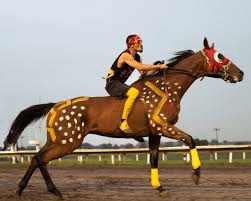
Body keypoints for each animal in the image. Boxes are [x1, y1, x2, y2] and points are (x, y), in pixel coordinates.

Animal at [2, 37, 244, 198]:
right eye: (220, 56)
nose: (240, 73)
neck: (168, 87)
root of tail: (54, 105)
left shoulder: (155, 132)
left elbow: (154, 159)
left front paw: (159, 187)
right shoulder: (162, 126)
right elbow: (191, 139)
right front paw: (196, 174)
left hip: (60, 140)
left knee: (36, 158)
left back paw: (22, 189)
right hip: (68, 142)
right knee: (40, 158)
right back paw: (54, 191)